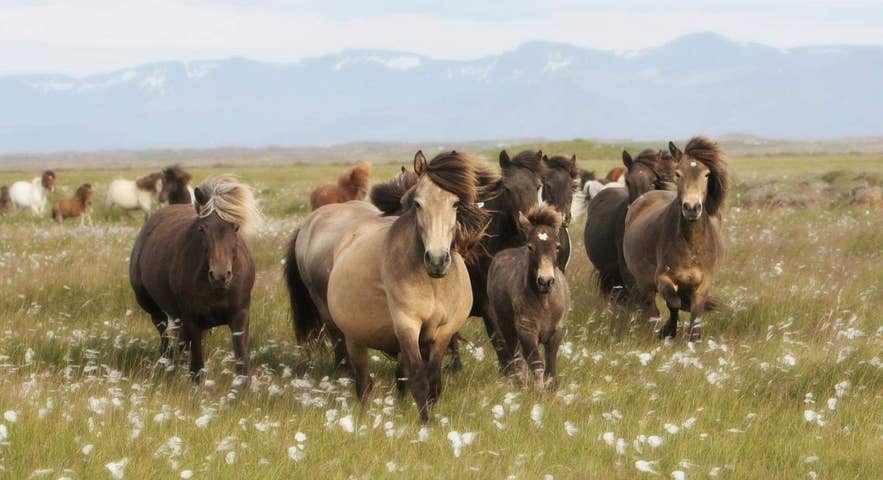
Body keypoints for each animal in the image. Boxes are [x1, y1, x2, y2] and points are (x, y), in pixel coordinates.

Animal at [129, 175, 260, 379]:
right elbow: (197, 368)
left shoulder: (240, 317)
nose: (220, 276)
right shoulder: (192, 320)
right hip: (152, 307)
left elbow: (242, 365)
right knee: (165, 338)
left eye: (236, 227)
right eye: (203, 229)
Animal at [326, 151, 496, 422]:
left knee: (398, 378)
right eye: (418, 204)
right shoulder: (407, 324)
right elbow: (418, 379)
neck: (433, 283)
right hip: (355, 341)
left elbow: (433, 380)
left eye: (455, 204)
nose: (436, 260)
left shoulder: (444, 331)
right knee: (364, 385)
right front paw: (425, 423)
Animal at [486, 205, 569, 391]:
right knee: (517, 360)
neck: (545, 302)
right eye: (530, 247)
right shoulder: (526, 329)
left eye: (557, 247)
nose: (545, 281)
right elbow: (536, 364)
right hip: (507, 328)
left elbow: (551, 368)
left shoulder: (556, 331)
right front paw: (537, 392)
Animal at [623, 137, 729, 341]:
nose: (692, 208)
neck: (691, 244)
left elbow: (696, 312)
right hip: (644, 283)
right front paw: (668, 331)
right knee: (651, 308)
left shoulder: (704, 283)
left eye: (706, 175)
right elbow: (674, 303)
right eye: (678, 174)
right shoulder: (663, 278)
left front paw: (693, 338)